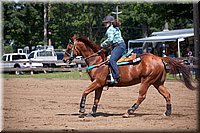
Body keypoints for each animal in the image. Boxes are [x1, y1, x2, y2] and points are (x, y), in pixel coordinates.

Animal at [63, 35, 196, 117]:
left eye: (69, 48)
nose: (64, 60)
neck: (98, 61)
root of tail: (160, 58)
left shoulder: (98, 82)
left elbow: (85, 92)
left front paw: (82, 109)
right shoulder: (99, 85)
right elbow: (96, 98)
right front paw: (92, 112)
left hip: (146, 81)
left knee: (142, 96)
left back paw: (129, 111)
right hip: (157, 82)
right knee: (167, 94)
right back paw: (167, 112)